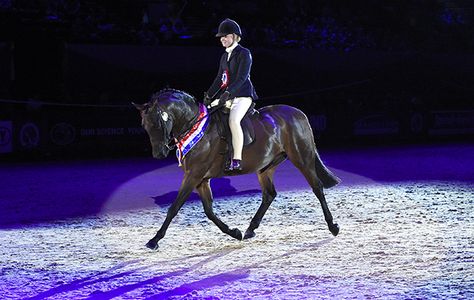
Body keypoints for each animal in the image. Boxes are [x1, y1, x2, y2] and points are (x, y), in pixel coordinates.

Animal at [133, 89, 340, 251]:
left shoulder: (193, 175)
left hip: (302, 158)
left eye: (157, 123)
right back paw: (250, 229)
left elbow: (174, 207)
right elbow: (209, 211)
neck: (195, 128)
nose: (159, 154)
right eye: (144, 125)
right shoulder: (201, 179)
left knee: (317, 188)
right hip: (265, 167)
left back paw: (333, 227)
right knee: (269, 194)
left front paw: (154, 240)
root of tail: (298, 113)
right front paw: (234, 232)